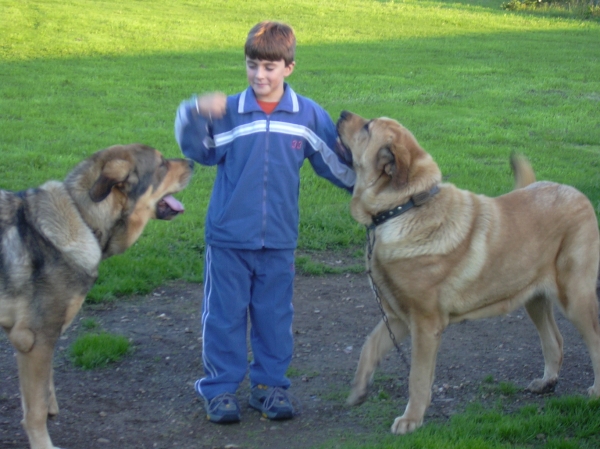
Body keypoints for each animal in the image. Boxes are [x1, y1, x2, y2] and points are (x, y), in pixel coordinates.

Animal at [0, 144, 192, 448]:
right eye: (162, 164)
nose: (194, 162)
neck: (83, 218)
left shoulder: (27, 340)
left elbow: (37, 392)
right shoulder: (34, 338)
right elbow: (36, 407)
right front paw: (43, 443)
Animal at [336, 111, 600, 434]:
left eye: (367, 127)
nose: (342, 114)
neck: (403, 207)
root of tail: (575, 192)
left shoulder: (425, 323)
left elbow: (418, 377)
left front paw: (411, 419)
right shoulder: (397, 316)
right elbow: (369, 346)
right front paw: (359, 391)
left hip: (575, 296)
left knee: (594, 341)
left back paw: (595, 392)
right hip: (533, 298)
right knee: (555, 340)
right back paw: (546, 382)